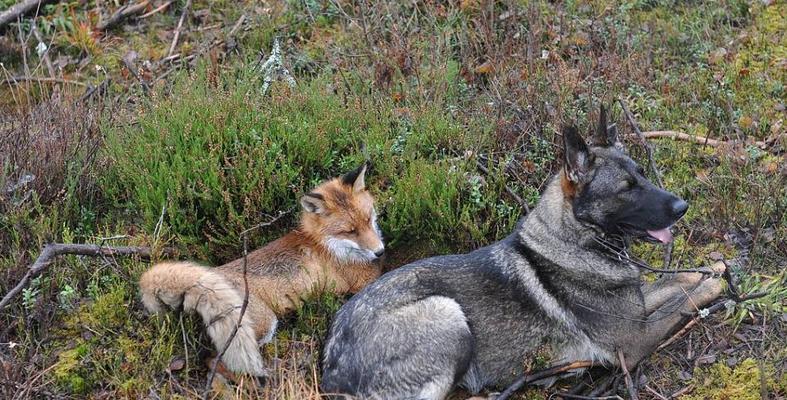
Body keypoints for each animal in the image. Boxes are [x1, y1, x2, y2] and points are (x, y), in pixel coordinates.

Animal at [139, 164, 384, 376]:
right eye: (350, 231)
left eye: (368, 219)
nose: (380, 251)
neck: (323, 244)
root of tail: (210, 275)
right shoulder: (361, 282)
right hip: (263, 324)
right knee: (220, 359)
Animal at [320, 108, 728, 398]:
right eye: (626, 188)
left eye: (642, 174)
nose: (683, 206)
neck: (576, 241)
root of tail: (331, 368)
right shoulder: (634, 342)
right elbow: (690, 300)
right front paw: (717, 285)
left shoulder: (639, 308)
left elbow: (681, 279)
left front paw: (714, 266)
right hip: (446, 311)